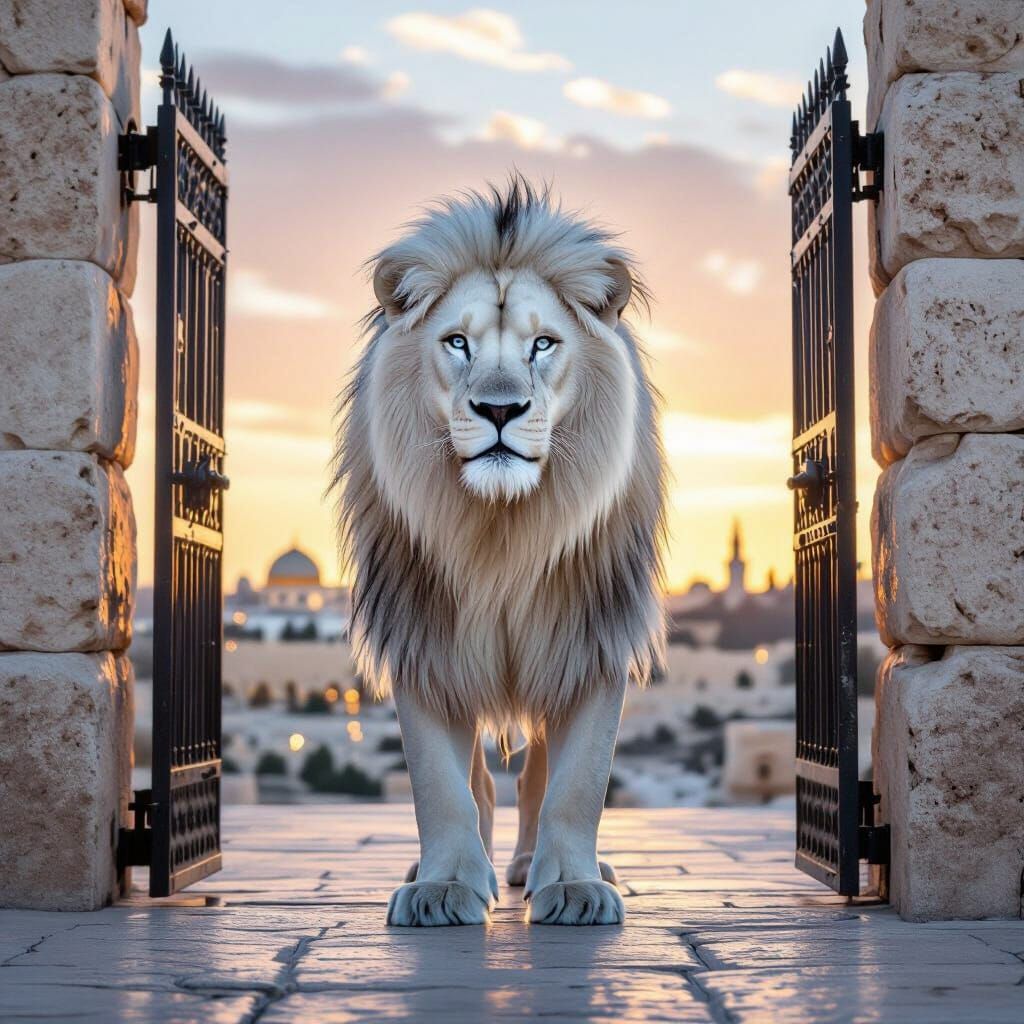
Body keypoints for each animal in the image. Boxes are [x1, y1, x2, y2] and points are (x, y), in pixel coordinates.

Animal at [332, 178, 666, 927]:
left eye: (543, 344)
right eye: (457, 342)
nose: (500, 409)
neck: (501, 530)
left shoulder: (591, 635)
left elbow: (576, 784)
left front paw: (573, 887)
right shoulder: (423, 635)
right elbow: (439, 784)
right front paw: (443, 887)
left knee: (537, 776)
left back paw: (535, 867)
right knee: (482, 782)